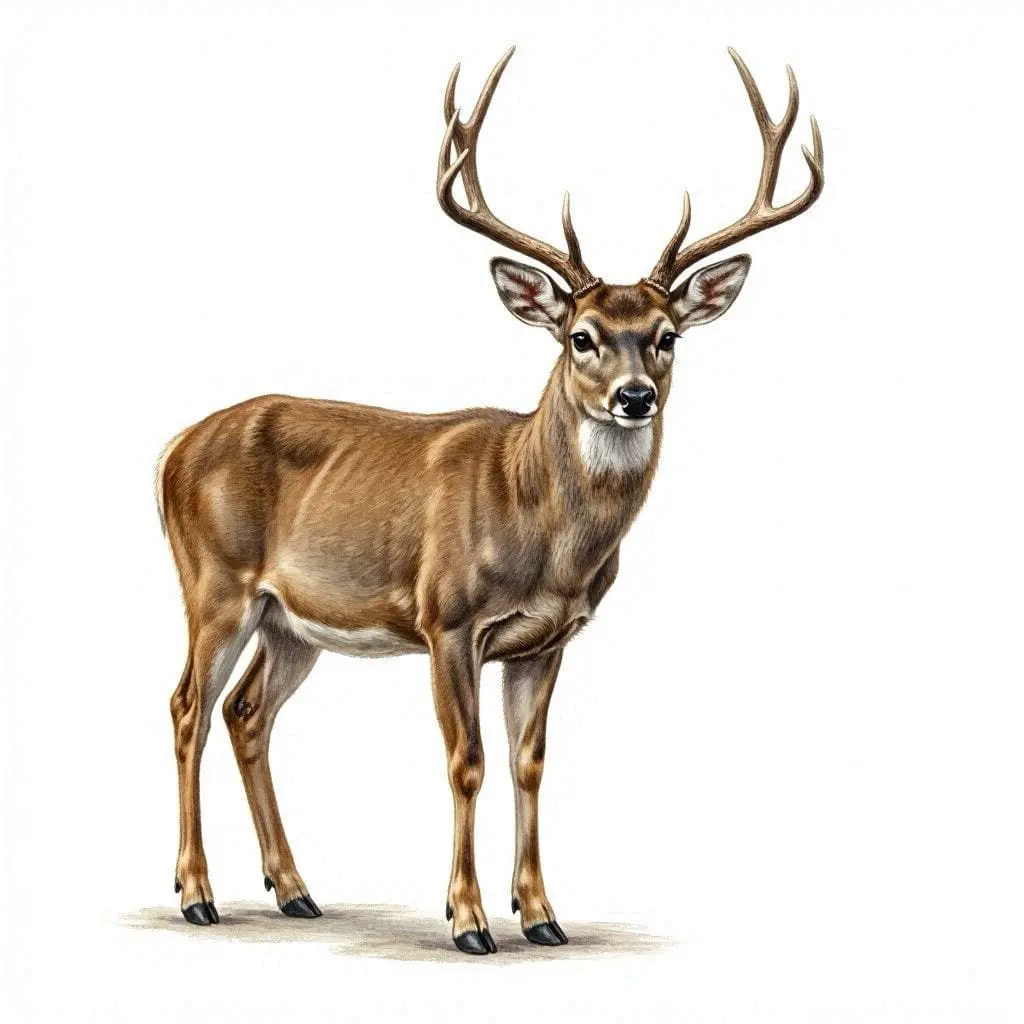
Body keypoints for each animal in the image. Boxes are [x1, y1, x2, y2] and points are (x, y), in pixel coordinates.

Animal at [157, 46, 824, 954]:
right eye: (581, 337)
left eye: (666, 336)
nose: (636, 396)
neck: (535, 519)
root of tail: (170, 452)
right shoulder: (447, 618)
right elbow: (465, 761)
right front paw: (468, 920)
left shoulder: (547, 640)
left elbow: (528, 762)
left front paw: (541, 914)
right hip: (214, 584)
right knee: (188, 706)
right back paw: (196, 894)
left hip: (290, 620)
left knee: (246, 712)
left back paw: (294, 890)